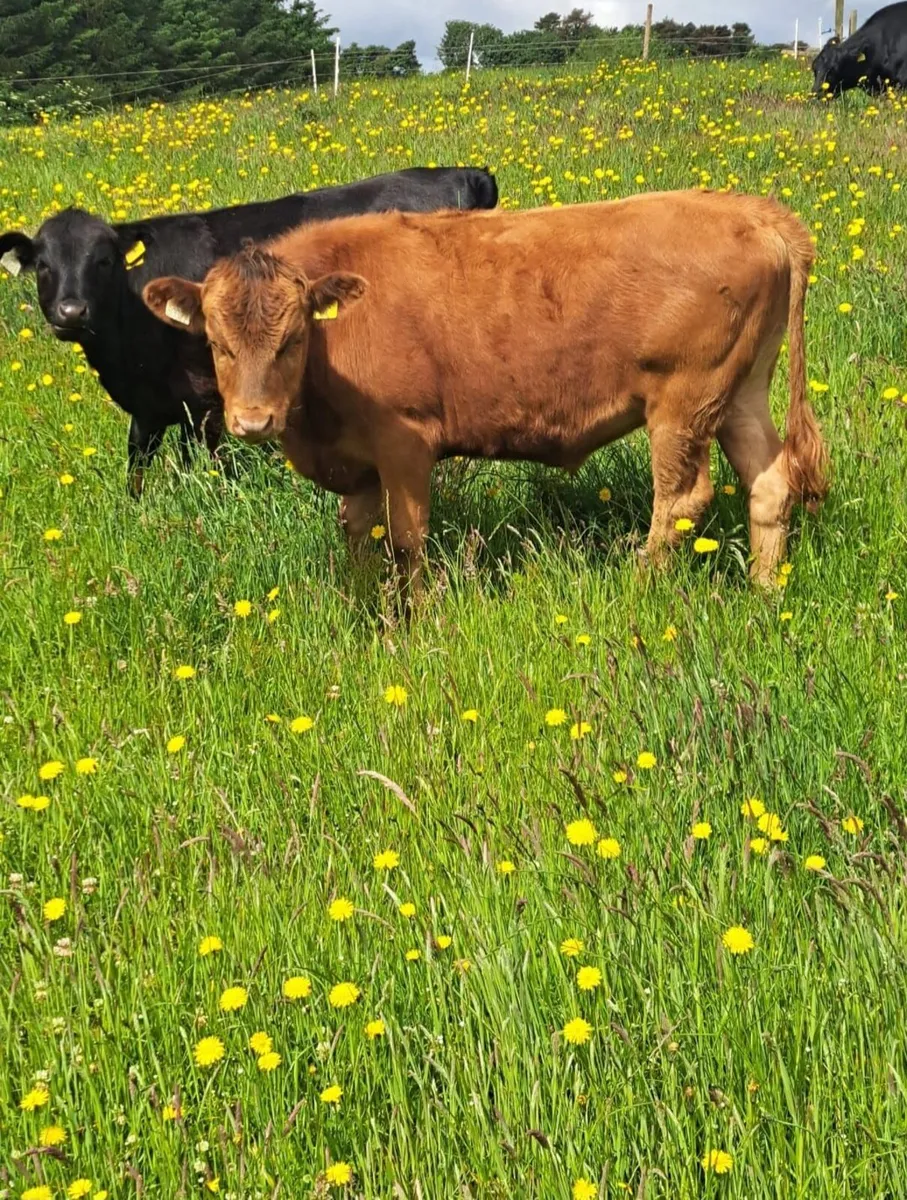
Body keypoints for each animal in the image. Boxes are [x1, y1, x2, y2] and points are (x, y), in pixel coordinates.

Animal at [0, 167, 498, 494]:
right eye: (43, 266)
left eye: (103, 261)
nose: (71, 311)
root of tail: (464, 173)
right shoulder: (149, 407)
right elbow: (137, 464)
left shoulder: (202, 399)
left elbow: (204, 461)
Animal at [141, 191, 829, 592]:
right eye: (217, 343)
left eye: (291, 339)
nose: (253, 420)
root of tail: (754, 211)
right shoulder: (357, 463)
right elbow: (359, 536)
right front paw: (366, 608)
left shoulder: (404, 443)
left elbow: (407, 540)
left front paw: (410, 622)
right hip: (738, 394)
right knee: (770, 481)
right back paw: (766, 590)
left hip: (684, 404)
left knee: (681, 499)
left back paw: (639, 589)